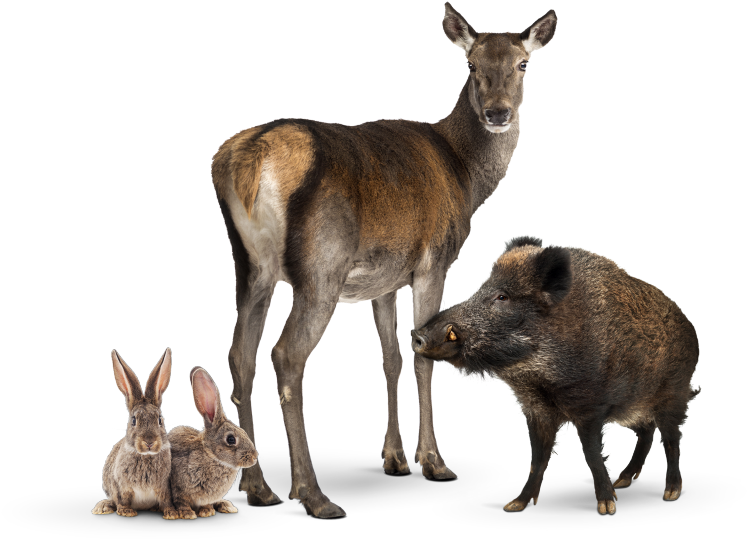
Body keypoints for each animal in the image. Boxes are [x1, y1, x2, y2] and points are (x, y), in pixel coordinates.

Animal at [92, 348, 178, 519]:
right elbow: (123, 499)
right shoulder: (122, 487)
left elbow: (166, 501)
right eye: (133, 420)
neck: (146, 456)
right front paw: (126, 512)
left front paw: (171, 514)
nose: (149, 441)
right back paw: (103, 507)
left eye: (160, 419)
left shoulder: (164, 488)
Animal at [169, 366, 258, 519]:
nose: (254, 457)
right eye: (231, 439)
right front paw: (188, 514)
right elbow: (181, 501)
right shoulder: (178, 489)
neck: (211, 455)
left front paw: (207, 511)